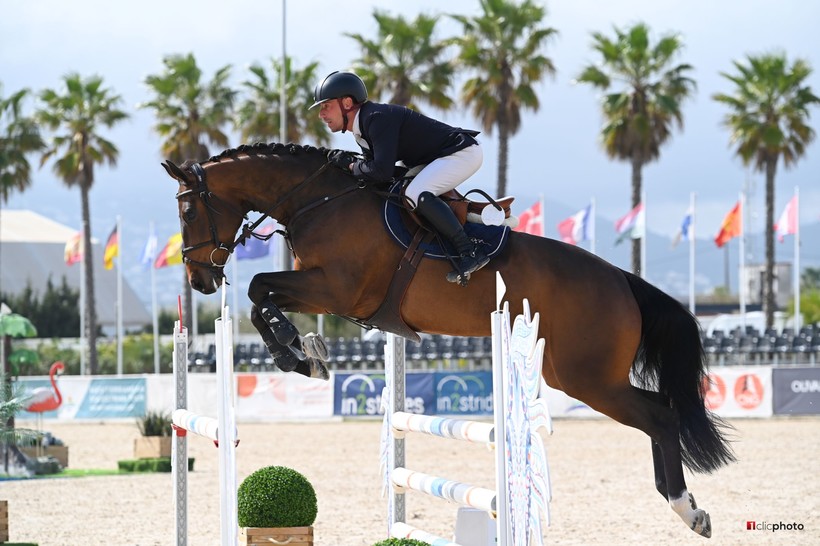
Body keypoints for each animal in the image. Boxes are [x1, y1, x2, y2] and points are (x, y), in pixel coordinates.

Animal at [162, 140, 736, 536]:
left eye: (188, 211)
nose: (200, 281)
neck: (318, 200)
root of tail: (621, 280)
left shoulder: (337, 290)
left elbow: (260, 288)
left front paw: (299, 353)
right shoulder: (321, 291)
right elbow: (262, 296)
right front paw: (304, 355)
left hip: (588, 378)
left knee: (660, 415)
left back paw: (688, 509)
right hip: (574, 374)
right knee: (660, 411)